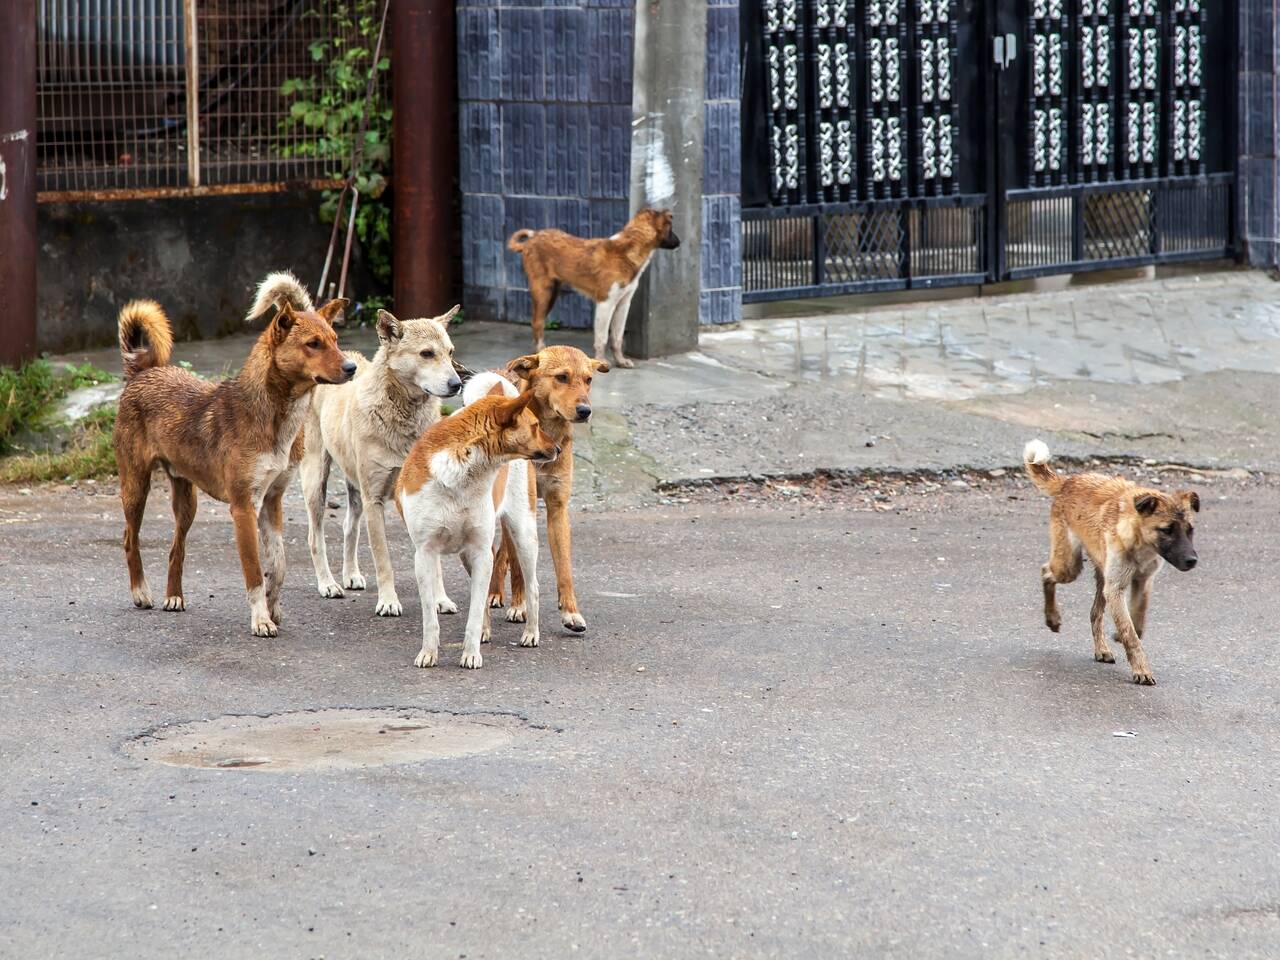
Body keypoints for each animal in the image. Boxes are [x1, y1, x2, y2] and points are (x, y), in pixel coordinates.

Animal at [112, 272, 353, 640]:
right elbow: (254, 571)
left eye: (336, 340)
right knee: (129, 538)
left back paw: (174, 596)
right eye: (313, 344)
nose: (352, 367)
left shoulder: (273, 501)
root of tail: (143, 372)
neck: (275, 415)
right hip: (136, 487)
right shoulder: (243, 508)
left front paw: (273, 606)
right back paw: (141, 592)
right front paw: (261, 619)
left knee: (176, 548)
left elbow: (279, 564)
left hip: (187, 502)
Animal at [298, 309, 460, 624]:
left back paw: (350, 574)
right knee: (315, 536)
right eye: (426, 353)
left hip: (354, 487)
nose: (457, 384)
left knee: (349, 526)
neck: (404, 413)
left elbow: (434, 561)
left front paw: (440, 599)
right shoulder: (374, 500)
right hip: (316, 480)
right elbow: (383, 559)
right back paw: (328, 583)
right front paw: (388, 601)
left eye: (450, 353)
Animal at [391, 391, 558, 670]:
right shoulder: (425, 554)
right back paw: (486, 632)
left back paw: (531, 633)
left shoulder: (481, 552)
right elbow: (431, 616)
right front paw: (429, 652)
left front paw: (471, 654)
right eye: (535, 426)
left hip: (523, 536)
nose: (557, 449)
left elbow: (475, 611)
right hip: (468, 555)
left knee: (532, 588)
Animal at [506, 208, 680, 371]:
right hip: (543, 291)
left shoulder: (623, 304)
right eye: (670, 228)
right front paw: (601, 361)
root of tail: (531, 240)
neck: (626, 251)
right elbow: (602, 337)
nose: (679, 243)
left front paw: (621, 361)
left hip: (553, 292)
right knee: (537, 321)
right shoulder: (605, 303)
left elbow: (617, 337)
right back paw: (541, 351)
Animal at [1018, 440, 1198, 686]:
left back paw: (1101, 648)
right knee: (1046, 571)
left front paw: (1122, 636)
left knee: (1095, 613)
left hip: (1102, 578)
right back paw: (1052, 617)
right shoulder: (1116, 588)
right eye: (1167, 530)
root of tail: (1069, 481)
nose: (1192, 561)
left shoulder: (1142, 582)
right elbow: (1130, 633)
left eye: (1190, 529)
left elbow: (1137, 621)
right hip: (1069, 566)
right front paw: (1141, 669)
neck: (1139, 540)